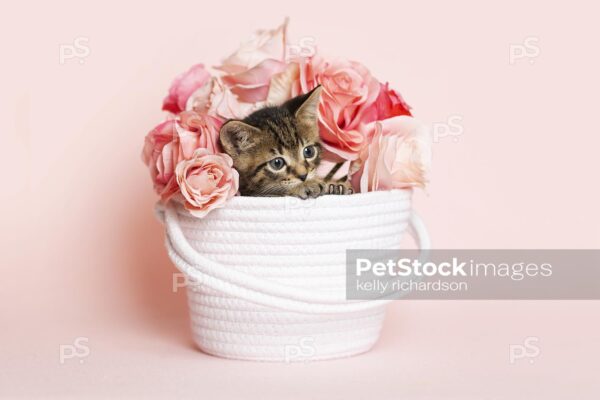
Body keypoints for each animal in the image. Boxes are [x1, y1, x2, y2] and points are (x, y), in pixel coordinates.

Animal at [219, 86, 352, 198]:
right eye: (277, 163)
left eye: (308, 152)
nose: (304, 176)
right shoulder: (250, 193)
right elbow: (277, 192)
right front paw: (307, 185)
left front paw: (334, 185)